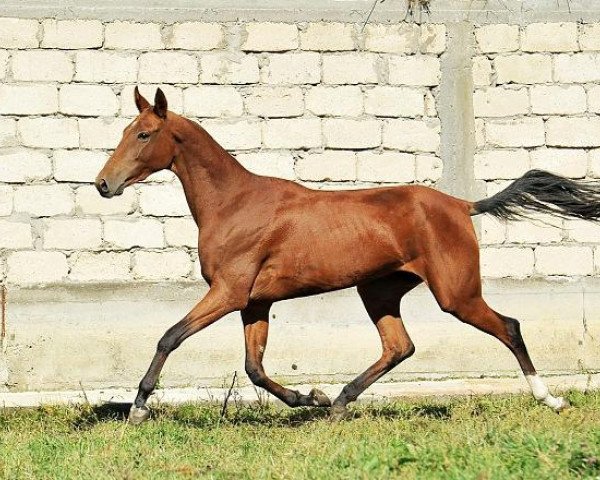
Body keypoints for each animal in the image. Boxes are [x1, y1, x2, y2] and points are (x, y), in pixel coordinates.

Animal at [95, 87, 600, 424]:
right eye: (125, 130)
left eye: (144, 134)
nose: (103, 184)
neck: (234, 203)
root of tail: (462, 205)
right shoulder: (255, 301)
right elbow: (255, 368)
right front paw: (310, 398)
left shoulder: (230, 293)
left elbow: (170, 337)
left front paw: (138, 407)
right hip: (378, 290)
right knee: (399, 346)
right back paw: (338, 402)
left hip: (456, 294)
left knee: (508, 328)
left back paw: (550, 399)